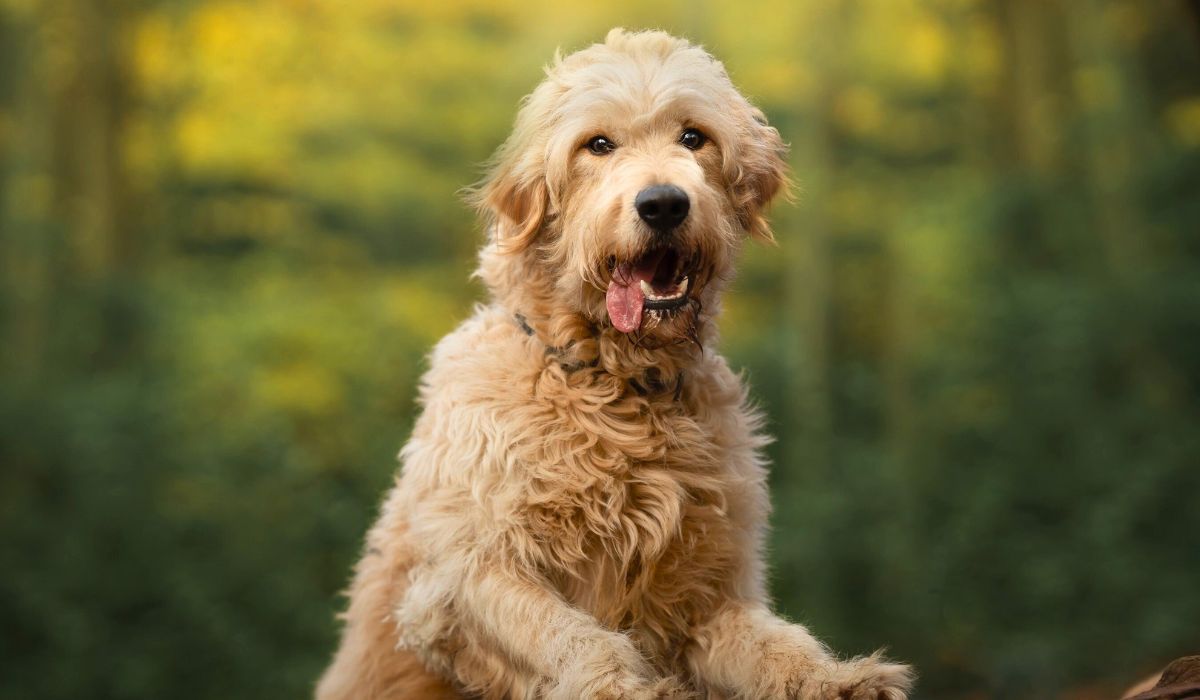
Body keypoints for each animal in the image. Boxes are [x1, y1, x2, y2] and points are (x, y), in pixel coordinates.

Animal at [314, 28, 912, 700]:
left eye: (693, 137)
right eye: (598, 144)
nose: (664, 204)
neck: (612, 384)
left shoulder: (710, 599)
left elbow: (778, 644)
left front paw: (838, 678)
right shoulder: (462, 583)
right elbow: (570, 634)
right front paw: (622, 686)